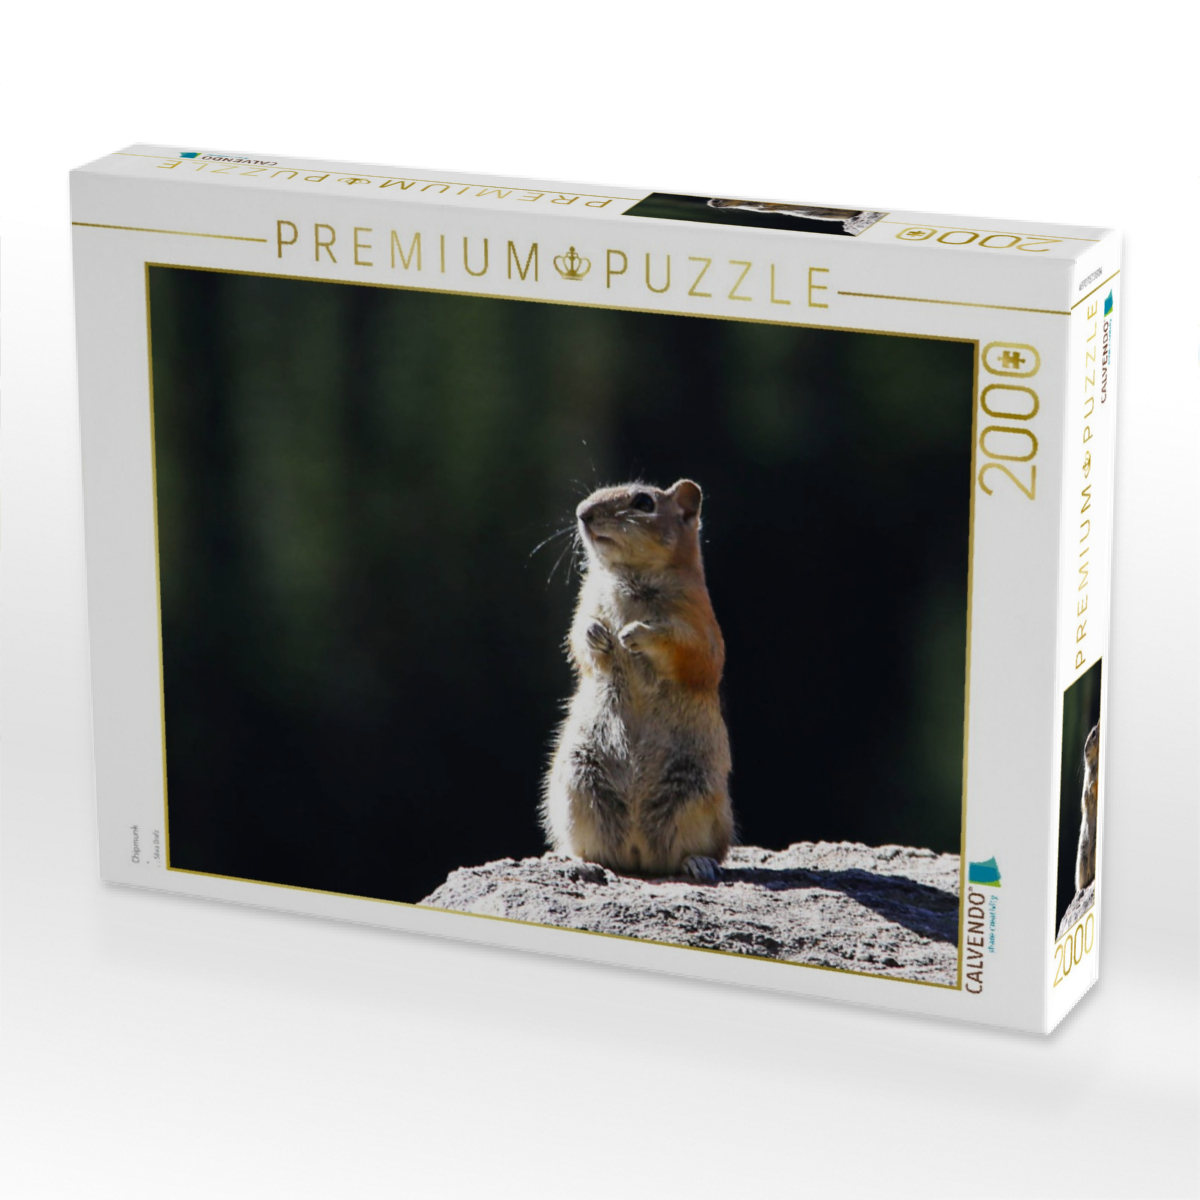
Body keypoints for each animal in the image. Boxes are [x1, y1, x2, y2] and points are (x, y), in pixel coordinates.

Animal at [541, 479, 734, 881]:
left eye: (644, 502)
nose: (582, 513)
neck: (627, 576)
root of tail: (639, 853)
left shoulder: (700, 626)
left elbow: (687, 650)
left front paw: (635, 633)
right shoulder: (584, 603)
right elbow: (577, 637)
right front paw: (596, 633)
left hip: (698, 797)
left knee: (694, 851)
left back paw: (699, 863)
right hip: (578, 786)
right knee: (597, 851)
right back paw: (579, 861)